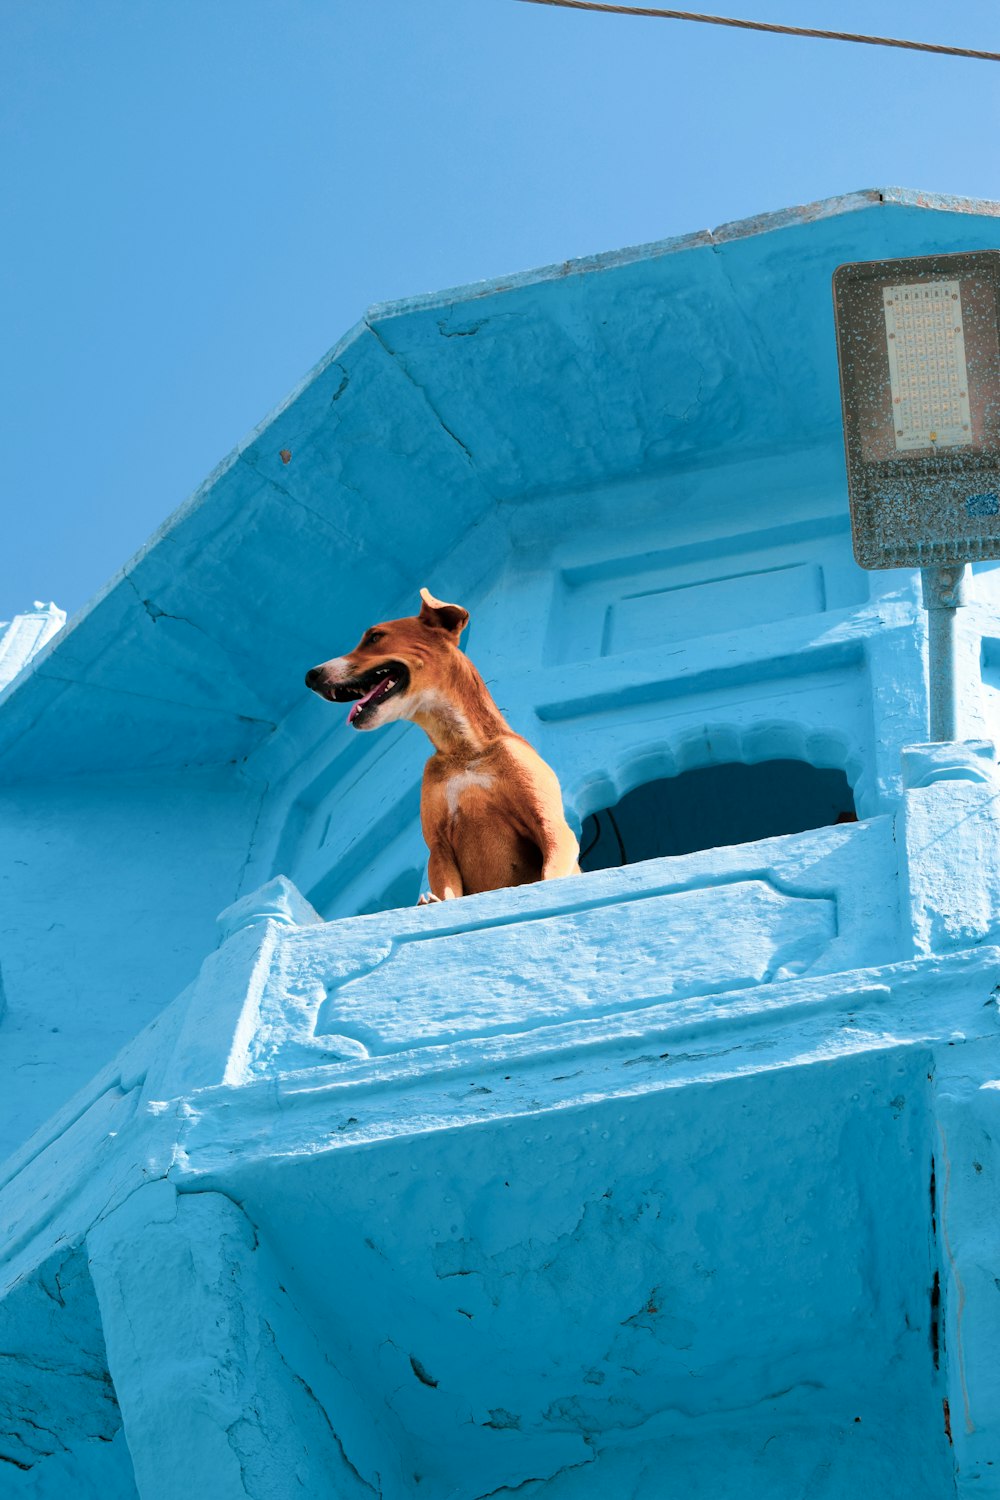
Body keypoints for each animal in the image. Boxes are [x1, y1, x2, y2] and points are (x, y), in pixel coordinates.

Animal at [305, 591, 578, 900]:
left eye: (375, 637)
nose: (310, 676)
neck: (463, 749)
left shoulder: (550, 823)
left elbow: (550, 873)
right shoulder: (439, 849)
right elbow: (446, 892)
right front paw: (429, 902)